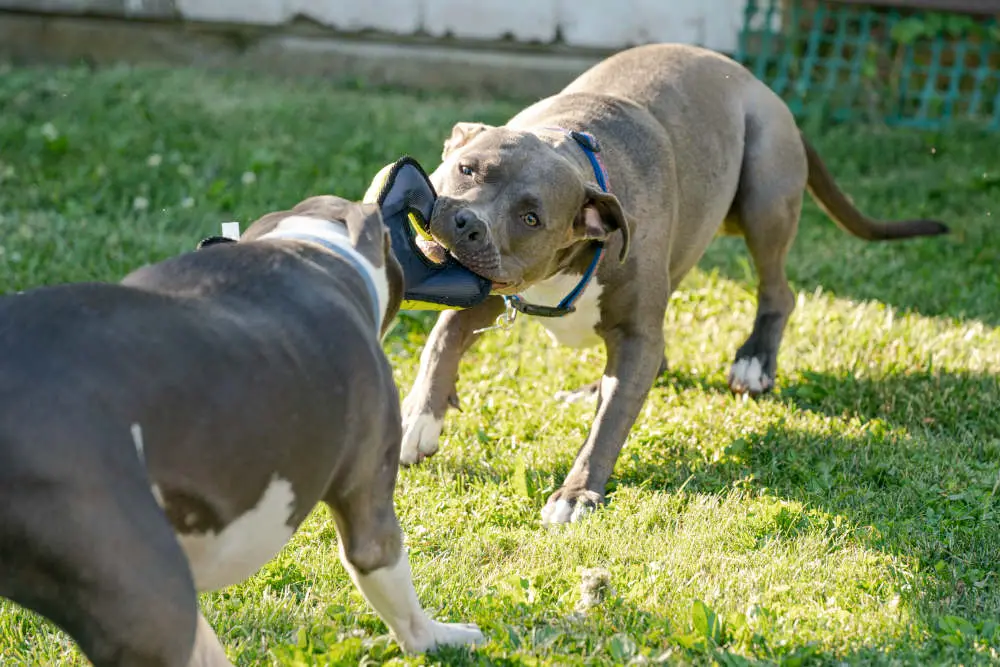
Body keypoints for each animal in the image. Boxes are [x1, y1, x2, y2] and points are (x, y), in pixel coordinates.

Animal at [396, 44, 944, 528]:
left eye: (531, 218)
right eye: (467, 169)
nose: (467, 223)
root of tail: (762, 87)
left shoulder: (634, 331)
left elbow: (610, 424)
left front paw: (576, 495)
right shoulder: (488, 290)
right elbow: (441, 340)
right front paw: (419, 421)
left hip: (764, 196)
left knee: (778, 292)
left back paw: (754, 362)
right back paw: (594, 387)